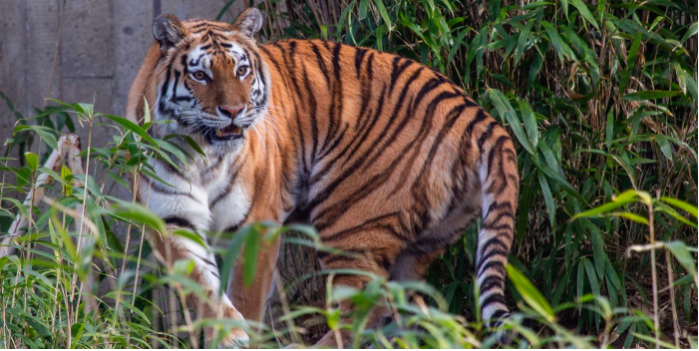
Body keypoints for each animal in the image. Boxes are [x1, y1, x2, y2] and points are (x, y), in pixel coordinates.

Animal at [126, 8, 520, 350]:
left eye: (241, 70)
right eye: (201, 75)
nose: (234, 111)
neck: (201, 152)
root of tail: (480, 116)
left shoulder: (256, 225)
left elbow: (246, 296)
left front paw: (243, 338)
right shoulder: (171, 219)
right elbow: (203, 285)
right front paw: (227, 335)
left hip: (350, 219)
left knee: (369, 306)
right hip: (418, 244)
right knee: (407, 310)